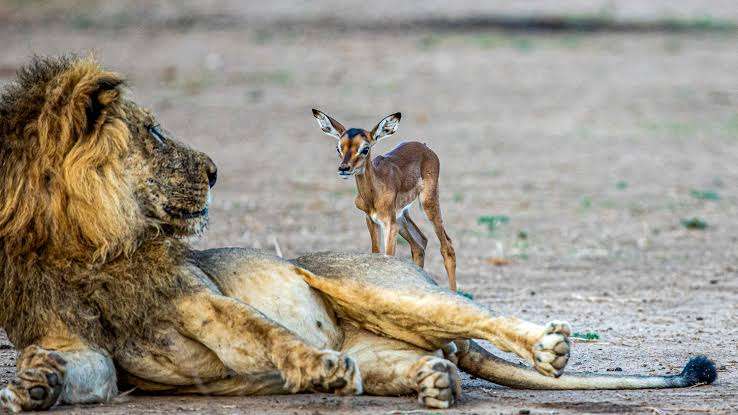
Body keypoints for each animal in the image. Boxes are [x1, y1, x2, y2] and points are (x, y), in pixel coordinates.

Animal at [310, 110, 454, 292]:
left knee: (447, 246)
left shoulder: (390, 226)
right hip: (401, 216)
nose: (344, 168)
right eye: (338, 147)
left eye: (365, 148)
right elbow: (376, 253)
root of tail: (425, 147)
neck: (374, 195)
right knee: (420, 243)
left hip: (427, 203)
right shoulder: (371, 220)